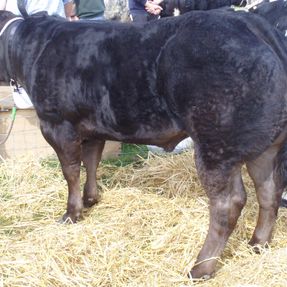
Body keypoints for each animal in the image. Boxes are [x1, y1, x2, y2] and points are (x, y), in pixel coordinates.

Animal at [0, 8, 287, 280]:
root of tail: (250, 24)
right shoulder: (92, 126)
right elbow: (91, 161)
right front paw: (91, 198)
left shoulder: (56, 123)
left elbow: (71, 171)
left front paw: (72, 213)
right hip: (264, 146)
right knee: (269, 190)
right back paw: (258, 243)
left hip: (216, 146)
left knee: (229, 203)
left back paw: (200, 267)